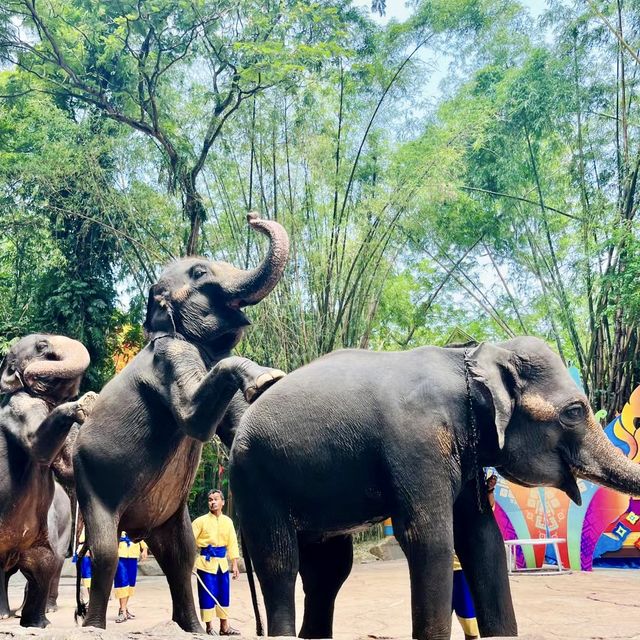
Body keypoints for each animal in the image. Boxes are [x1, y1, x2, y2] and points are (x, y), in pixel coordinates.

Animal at [72, 214, 288, 632]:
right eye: (201, 272)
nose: (253, 218)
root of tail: (134, 527)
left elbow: (233, 426)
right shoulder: (170, 355)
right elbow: (191, 419)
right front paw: (269, 379)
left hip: (167, 513)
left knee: (180, 553)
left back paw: (190, 628)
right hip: (89, 477)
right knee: (106, 552)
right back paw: (93, 627)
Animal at [232, 336, 640, 640]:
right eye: (574, 411)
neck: (469, 358)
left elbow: (483, 540)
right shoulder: (418, 444)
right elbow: (430, 540)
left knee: (327, 574)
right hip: (255, 481)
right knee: (280, 564)